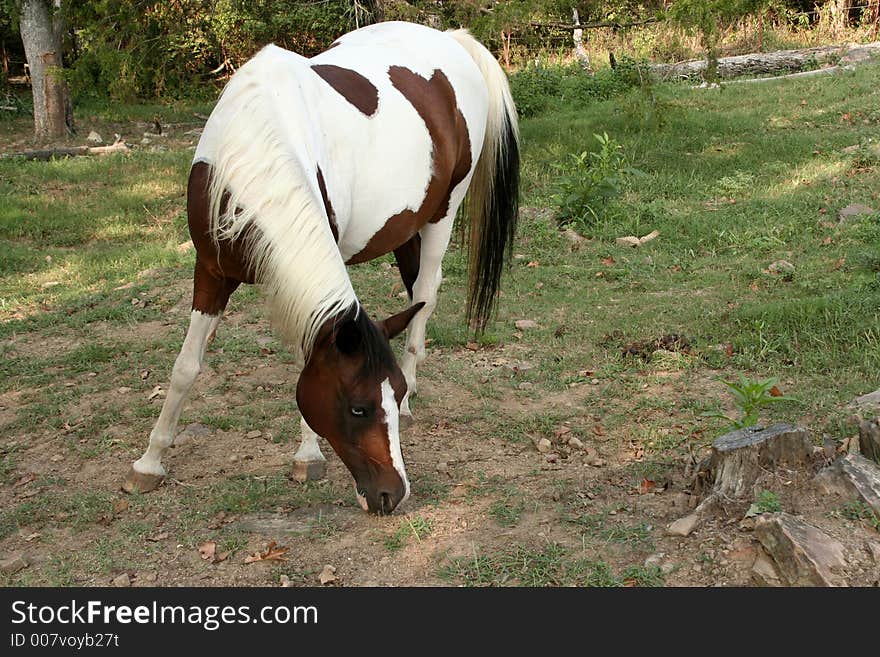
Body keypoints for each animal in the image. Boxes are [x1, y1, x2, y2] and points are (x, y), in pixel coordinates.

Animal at [124, 20, 524, 512]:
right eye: (358, 407)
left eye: (387, 395)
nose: (393, 495)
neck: (251, 150)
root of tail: (450, 37)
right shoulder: (212, 272)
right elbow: (185, 367)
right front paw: (149, 462)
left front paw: (307, 455)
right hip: (404, 228)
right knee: (417, 288)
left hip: (442, 216)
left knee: (427, 292)